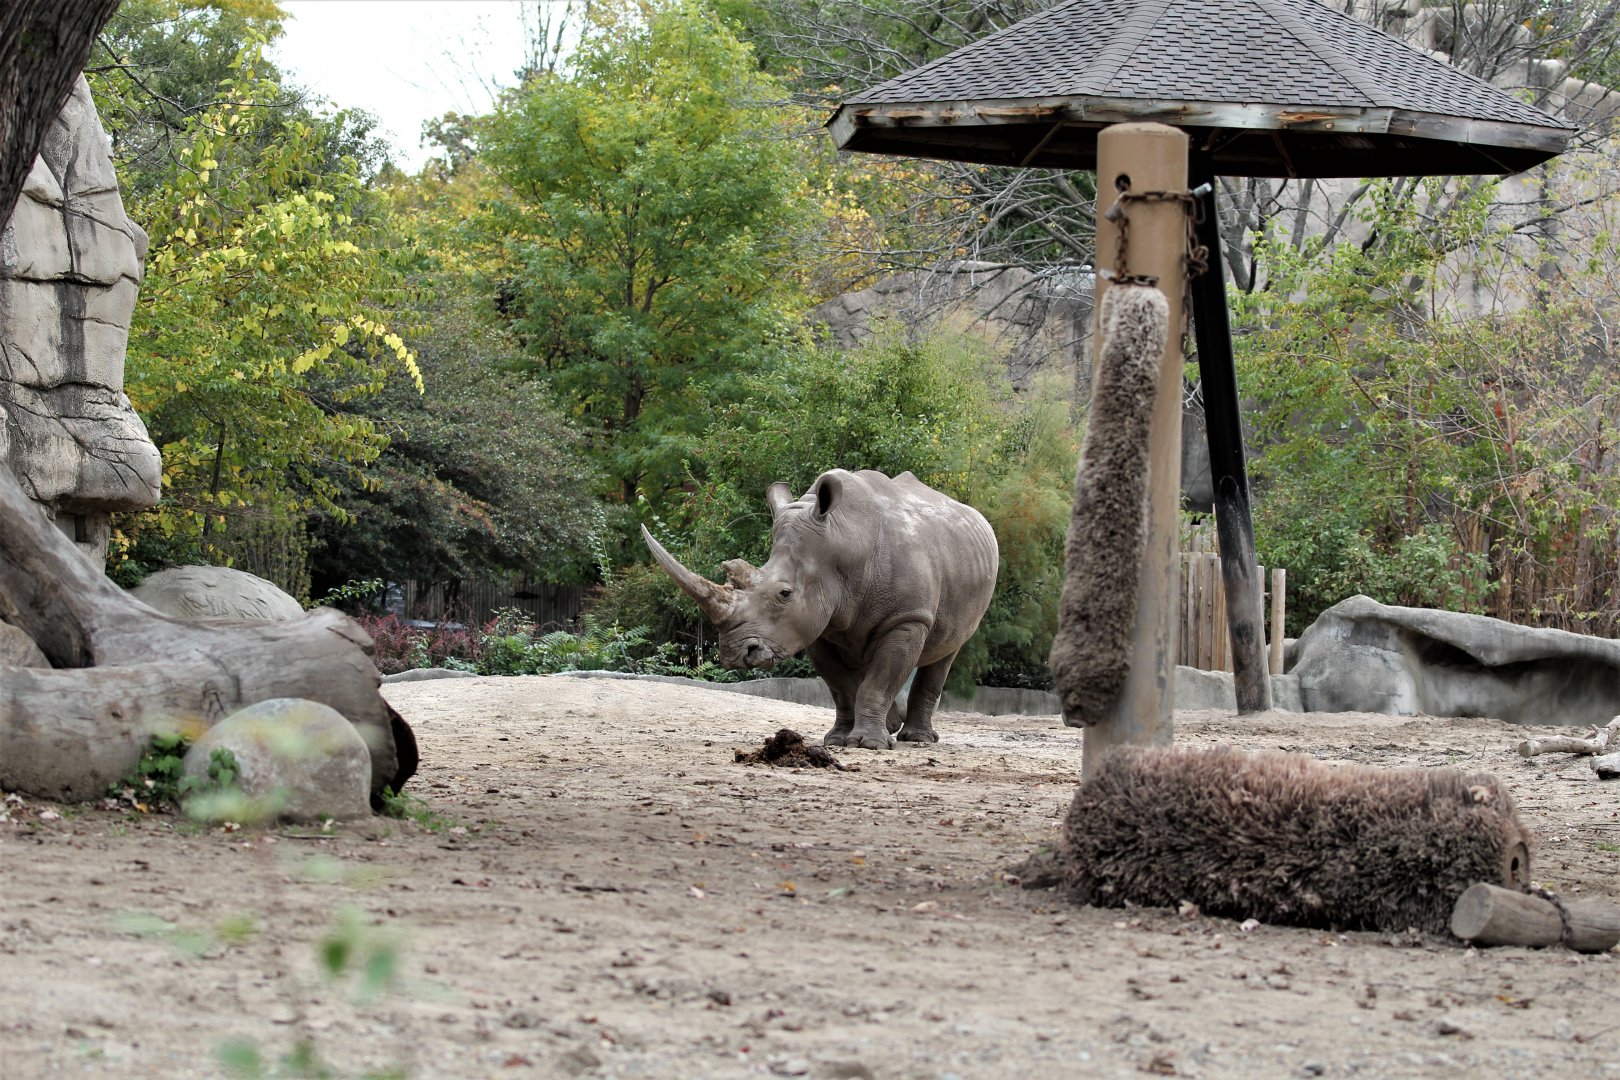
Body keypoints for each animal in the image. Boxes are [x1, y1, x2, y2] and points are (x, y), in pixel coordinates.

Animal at [641, 469, 999, 749]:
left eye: (784, 593)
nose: (733, 654)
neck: (841, 542)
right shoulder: (814, 622)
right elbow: (840, 685)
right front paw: (839, 739)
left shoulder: (907, 619)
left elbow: (879, 680)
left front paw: (869, 743)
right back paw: (896, 727)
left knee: (946, 651)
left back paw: (918, 739)